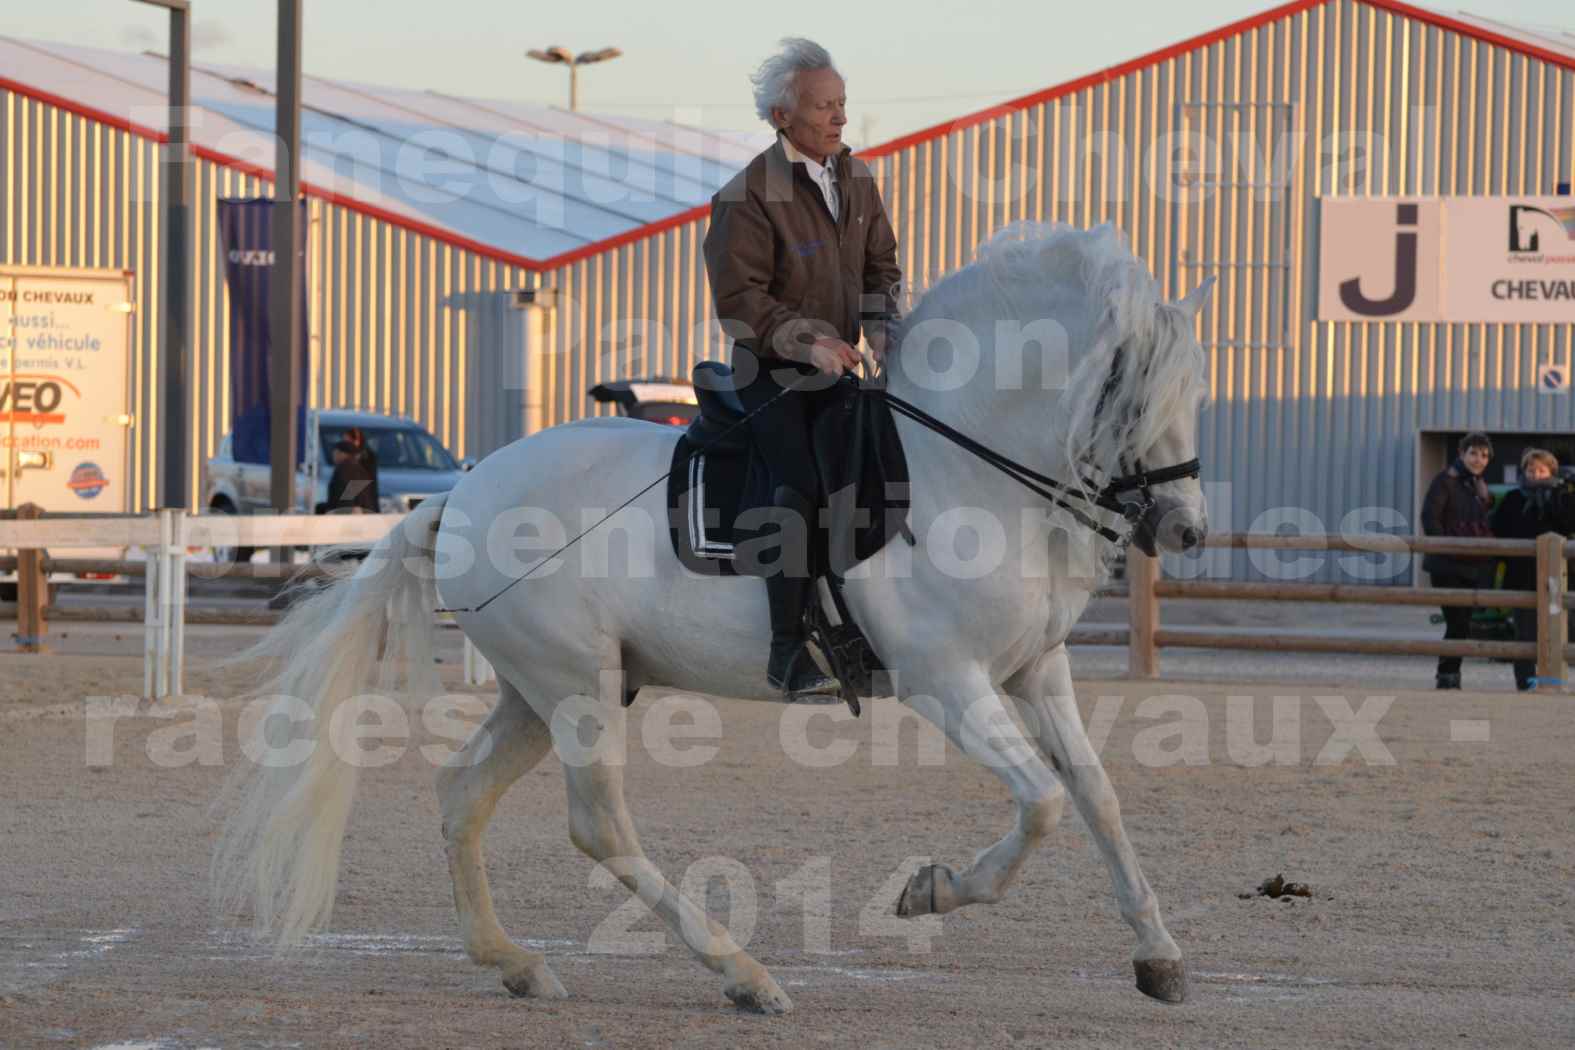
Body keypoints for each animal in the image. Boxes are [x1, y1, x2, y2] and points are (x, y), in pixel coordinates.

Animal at [215, 223, 1209, 1020]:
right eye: (1127, 392)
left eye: (1192, 395)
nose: (1184, 528)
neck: (959, 469)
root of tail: (460, 493)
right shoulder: (947, 684)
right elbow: (1042, 804)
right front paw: (930, 892)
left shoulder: (1035, 671)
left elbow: (1097, 798)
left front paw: (1158, 957)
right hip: (575, 689)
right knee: (600, 828)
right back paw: (743, 975)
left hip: (543, 692)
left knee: (463, 793)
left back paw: (516, 965)